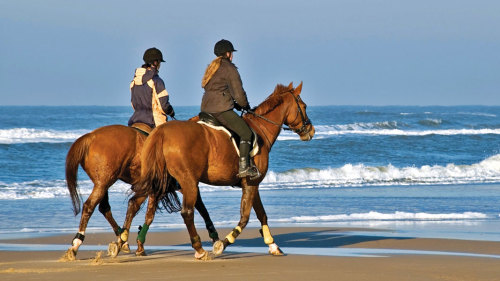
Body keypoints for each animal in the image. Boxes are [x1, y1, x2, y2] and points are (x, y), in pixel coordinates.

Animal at [62, 123, 219, 260]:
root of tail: (90, 136)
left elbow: (139, 210)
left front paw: (134, 243)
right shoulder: (180, 185)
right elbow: (150, 215)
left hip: (102, 183)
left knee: (104, 208)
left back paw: (121, 239)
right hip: (104, 182)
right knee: (90, 206)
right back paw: (77, 244)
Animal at [132, 82, 312, 260]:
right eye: (304, 106)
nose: (310, 130)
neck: (260, 129)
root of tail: (162, 131)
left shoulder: (252, 184)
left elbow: (262, 214)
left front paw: (273, 245)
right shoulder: (251, 183)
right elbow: (245, 217)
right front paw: (222, 244)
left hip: (165, 181)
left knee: (149, 208)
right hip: (188, 182)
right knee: (187, 212)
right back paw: (199, 249)